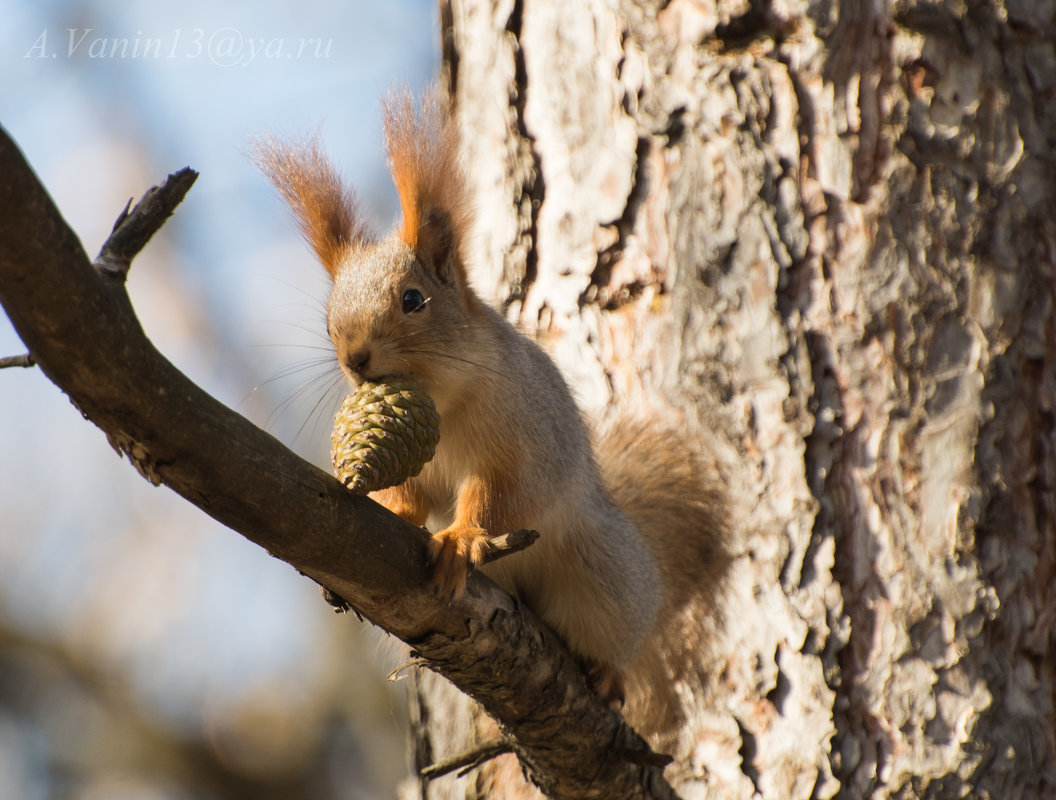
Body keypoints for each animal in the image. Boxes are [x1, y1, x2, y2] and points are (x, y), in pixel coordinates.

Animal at [257, 87, 734, 738]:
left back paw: (609, 672)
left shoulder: (524, 435)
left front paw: (461, 538)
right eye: (328, 317)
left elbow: (509, 493)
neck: (444, 400)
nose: (355, 358)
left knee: (612, 634)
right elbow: (412, 494)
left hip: (601, 575)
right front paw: (397, 510)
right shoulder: (423, 464)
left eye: (414, 300)